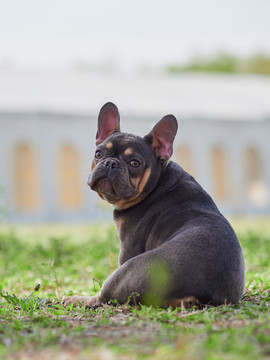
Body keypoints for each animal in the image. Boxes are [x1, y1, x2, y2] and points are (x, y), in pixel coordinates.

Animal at [62, 102, 245, 310]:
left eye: (134, 163)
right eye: (98, 153)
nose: (110, 163)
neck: (158, 182)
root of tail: (202, 291)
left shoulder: (128, 245)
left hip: (127, 272)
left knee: (103, 297)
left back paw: (79, 299)